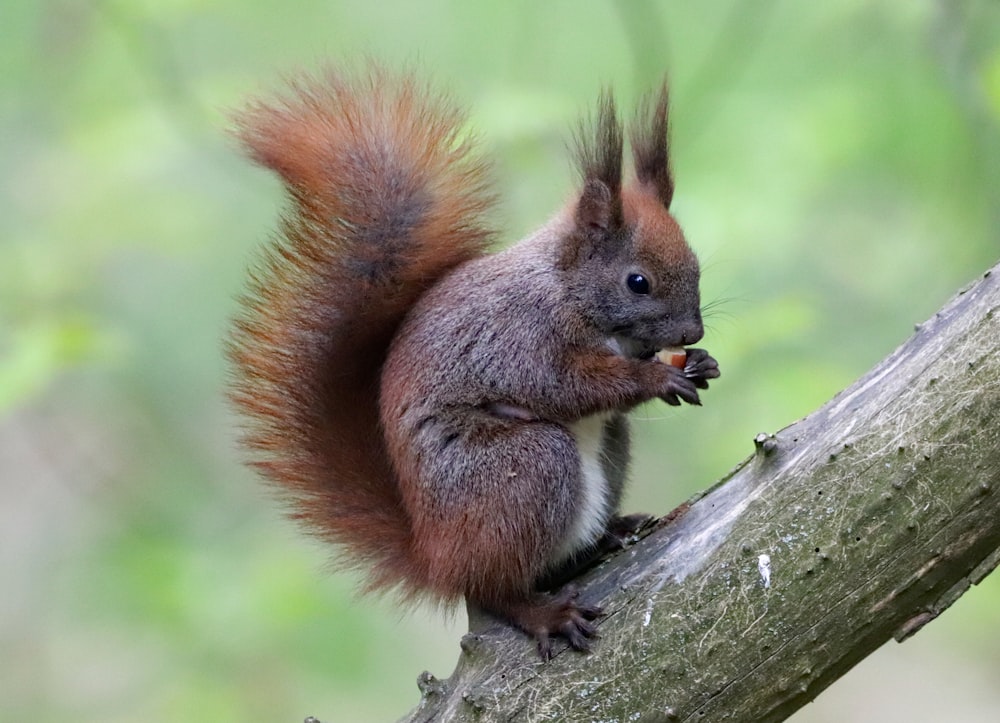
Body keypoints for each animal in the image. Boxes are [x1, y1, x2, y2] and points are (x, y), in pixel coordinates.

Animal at [229, 68, 720, 660]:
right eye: (638, 281)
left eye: (695, 265)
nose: (692, 333)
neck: (566, 288)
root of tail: (436, 554)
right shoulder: (520, 339)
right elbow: (567, 386)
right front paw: (658, 376)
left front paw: (701, 363)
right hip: (522, 469)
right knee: (492, 589)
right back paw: (542, 612)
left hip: (603, 452)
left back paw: (609, 533)